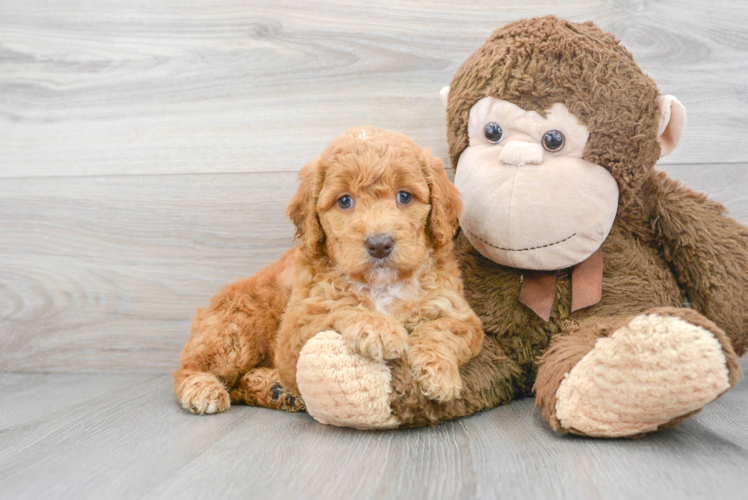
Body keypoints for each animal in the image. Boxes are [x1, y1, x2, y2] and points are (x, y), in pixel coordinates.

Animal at [173, 128, 482, 414]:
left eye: (404, 196)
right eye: (344, 201)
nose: (379, 244)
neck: (381, 285)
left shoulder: (458, 314)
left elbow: (441, 330)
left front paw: (440, 374)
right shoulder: (295, 330)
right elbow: (339, 309)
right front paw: (379, 328)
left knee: (238, 384)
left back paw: (278, 390)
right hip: (238, 328)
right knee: (191, 367)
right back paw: (204, 389)